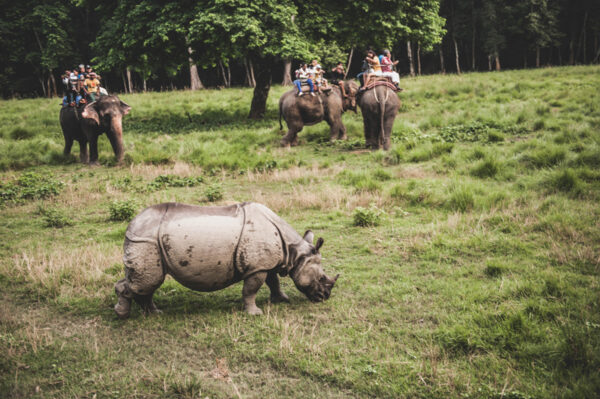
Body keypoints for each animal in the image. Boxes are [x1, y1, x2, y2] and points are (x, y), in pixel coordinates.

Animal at [112, 203, 338, 318]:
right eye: (321, 278)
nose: (325, 296)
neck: (294, 253)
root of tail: (132, 224)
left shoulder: (265, 263)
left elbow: (273, 281)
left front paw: (282, 299)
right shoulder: (256, 267)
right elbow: (251, 290)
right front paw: (255, 313)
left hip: (147, 240)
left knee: (147, 281)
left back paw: (154, 313)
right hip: (146, 240)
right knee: (147, 281)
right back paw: (123, 314)